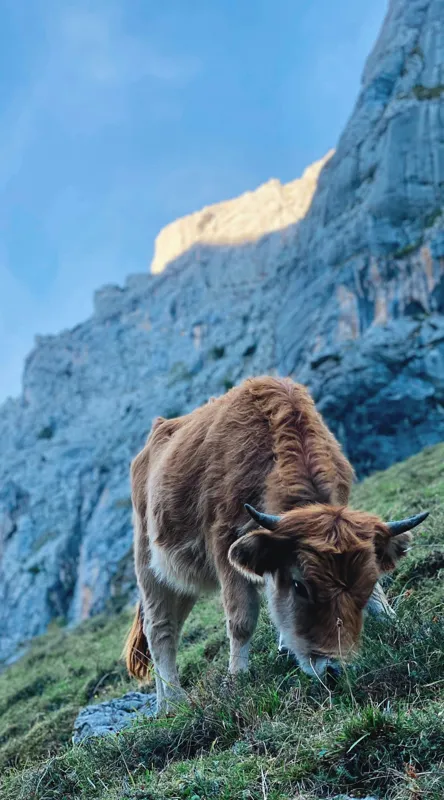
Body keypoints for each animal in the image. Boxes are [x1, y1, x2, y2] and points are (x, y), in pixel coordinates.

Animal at [124, 376, 428, 714]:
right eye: (300, 586)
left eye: (365, 584)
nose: (334, 670)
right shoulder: (224, 543)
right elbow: (242, 619)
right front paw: (236, 680)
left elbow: (377, 597)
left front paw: (397, 624)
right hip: (150, 565)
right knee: (160, 629)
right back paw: (173, 703)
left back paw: (163, 701)